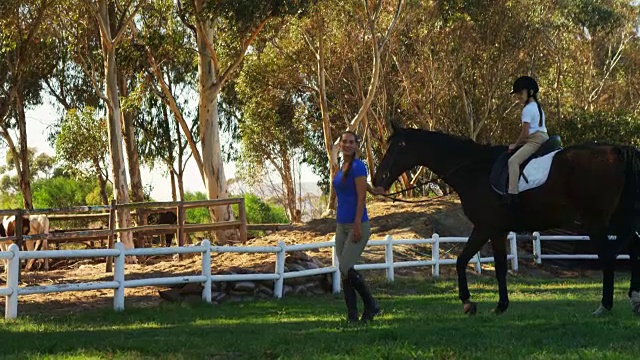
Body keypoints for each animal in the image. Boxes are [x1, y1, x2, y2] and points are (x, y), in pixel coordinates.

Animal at [370, 123, 640, 316]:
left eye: (399, 145)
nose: (378, 180)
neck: (474, 169)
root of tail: (617, 151)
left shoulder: (487, 227)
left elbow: (488, 264)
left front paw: (484, 303)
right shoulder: (490, 229)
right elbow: (470, 262)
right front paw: (479, 303)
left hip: (596, 222)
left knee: (608, 255)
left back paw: (605, 305)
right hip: (616, 219)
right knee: (632, 248)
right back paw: (634, 300)